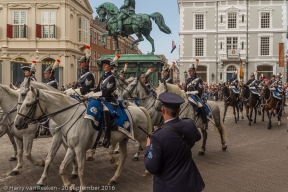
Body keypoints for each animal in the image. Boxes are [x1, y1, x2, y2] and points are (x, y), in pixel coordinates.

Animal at [15, 86, 153, 189]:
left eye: (28, 104)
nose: (17, 124)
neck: (70, 116)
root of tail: (139, 108)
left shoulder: (80, 149)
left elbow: (81, 170)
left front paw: (81, 187)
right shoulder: (72, 148)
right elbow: (61, 167)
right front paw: (69, 184)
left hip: (142, 138)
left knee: (146, 150)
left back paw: (148, 171)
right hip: (124, 139)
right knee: (123, 156)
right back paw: (114, 178)